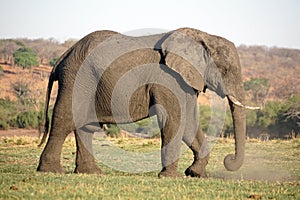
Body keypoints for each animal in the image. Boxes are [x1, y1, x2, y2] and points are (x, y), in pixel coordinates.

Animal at [37, 27, 258, 177]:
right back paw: (50, 171)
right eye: (226, 70)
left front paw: (196, 174)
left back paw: (91, 173)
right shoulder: (167, 77)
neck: (202, 36)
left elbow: (189, 123)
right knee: (65, 119)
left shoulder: (186, 79)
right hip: (77, 77)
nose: (228, 159)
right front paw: (171, 177)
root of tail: (64, 56)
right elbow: (173, 120)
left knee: (86, 126)